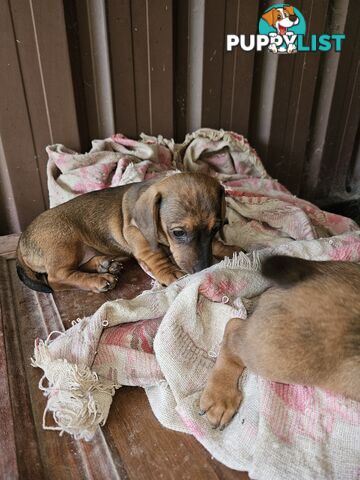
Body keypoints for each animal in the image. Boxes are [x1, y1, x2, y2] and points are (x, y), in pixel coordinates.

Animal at [16, 172, 238, 292]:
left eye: (216, 228)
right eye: (178, 233)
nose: (203, 269)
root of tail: (20, 242)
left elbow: (216, 244)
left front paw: (229, 248)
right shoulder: (137, 233)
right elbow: (155, 255)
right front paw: (170, 271)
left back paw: (104, 265)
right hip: (65, 243)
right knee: (56, 278)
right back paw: (99, 279)